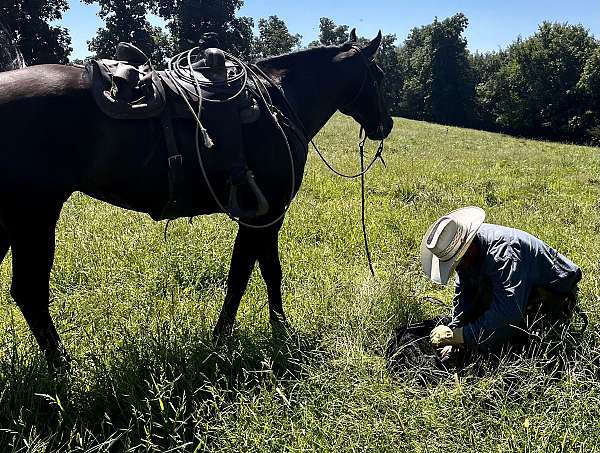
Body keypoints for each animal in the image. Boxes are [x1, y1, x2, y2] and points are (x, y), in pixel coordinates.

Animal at [0, 30, 394, 368]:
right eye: (378, 76)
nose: (386, 125)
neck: (280, 102)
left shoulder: (262, 215)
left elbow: (257, 272)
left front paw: (262, 332)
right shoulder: (264, 214)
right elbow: (250, 275)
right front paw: (239, 338)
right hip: (34, 215)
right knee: (30, 291)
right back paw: (63, 367)